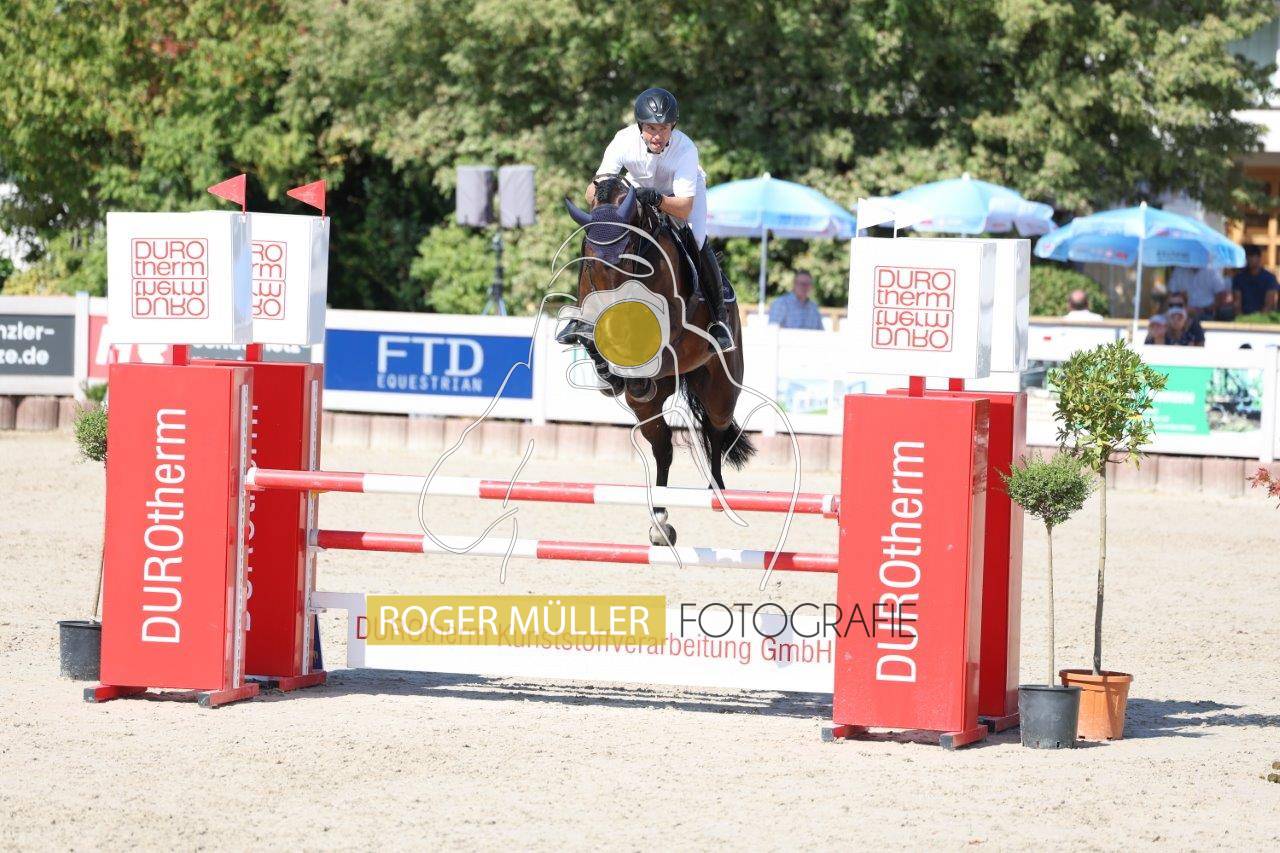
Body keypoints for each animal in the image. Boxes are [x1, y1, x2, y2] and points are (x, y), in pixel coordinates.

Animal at [561, 175, 754, 545]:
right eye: (590, 263)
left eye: (624, 262)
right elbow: (589, 335)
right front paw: (609, 375)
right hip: (648, 408)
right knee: (663, 446)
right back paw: (661, 521)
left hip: (721, 389)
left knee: (716, 427)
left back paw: (716, 492)